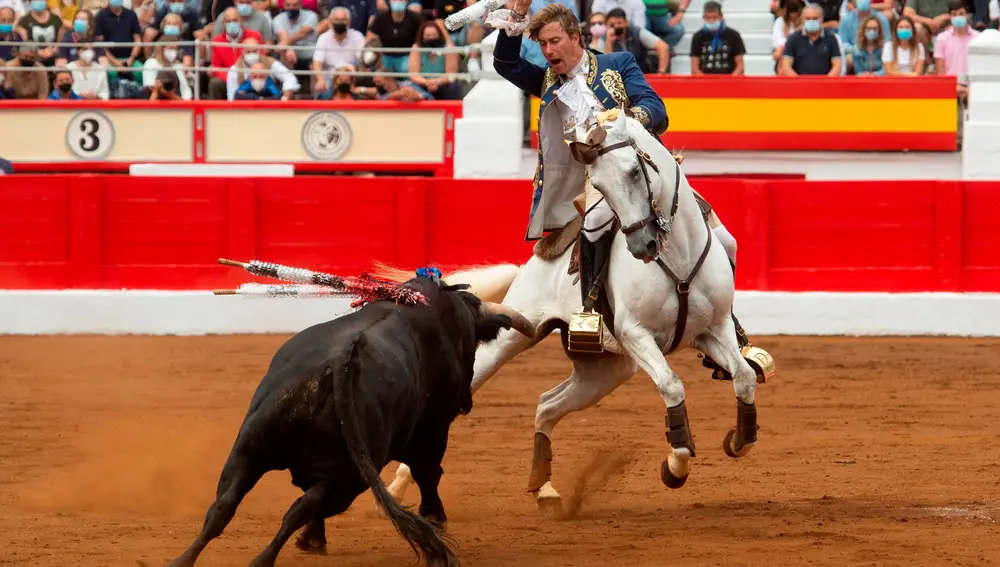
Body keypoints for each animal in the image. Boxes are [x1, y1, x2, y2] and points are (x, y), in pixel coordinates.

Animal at [156, 278, 532, 567]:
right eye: (473, 347)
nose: (467, 403)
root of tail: (338, 363)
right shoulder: (432, 431)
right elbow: (428, 473)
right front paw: (435, 518)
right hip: (349, 476)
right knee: (302, 508)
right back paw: (269, 557)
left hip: (251, 450)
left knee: (228, 504)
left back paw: (184, 560)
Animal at [374, 108, 756, 516]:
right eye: (599, 185)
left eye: (635, 172)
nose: (643, 245)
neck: (677, 257)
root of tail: (532, 262)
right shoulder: (637, 333)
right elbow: (671, 385)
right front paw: (675, 467)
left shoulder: (714, 328)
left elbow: (745, 376)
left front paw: (740, 439)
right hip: (510, 339)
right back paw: (395, 489)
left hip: (605, 369)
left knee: (546, 405)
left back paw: (544, 489)